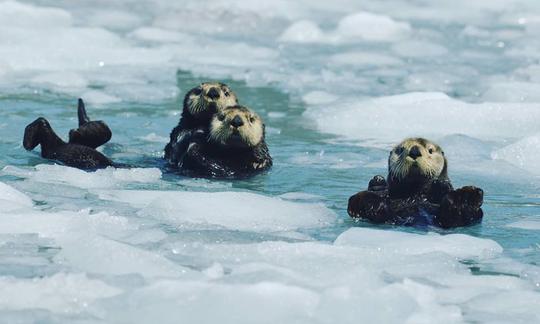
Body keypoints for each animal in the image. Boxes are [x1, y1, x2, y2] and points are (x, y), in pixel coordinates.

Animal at [348, 138, 484, 229]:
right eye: (400, 149)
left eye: (430, 150)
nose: (414, 151)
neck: (415, 194)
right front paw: (378, 180)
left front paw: (440, 184)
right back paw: (372, 202)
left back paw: (466, 197)